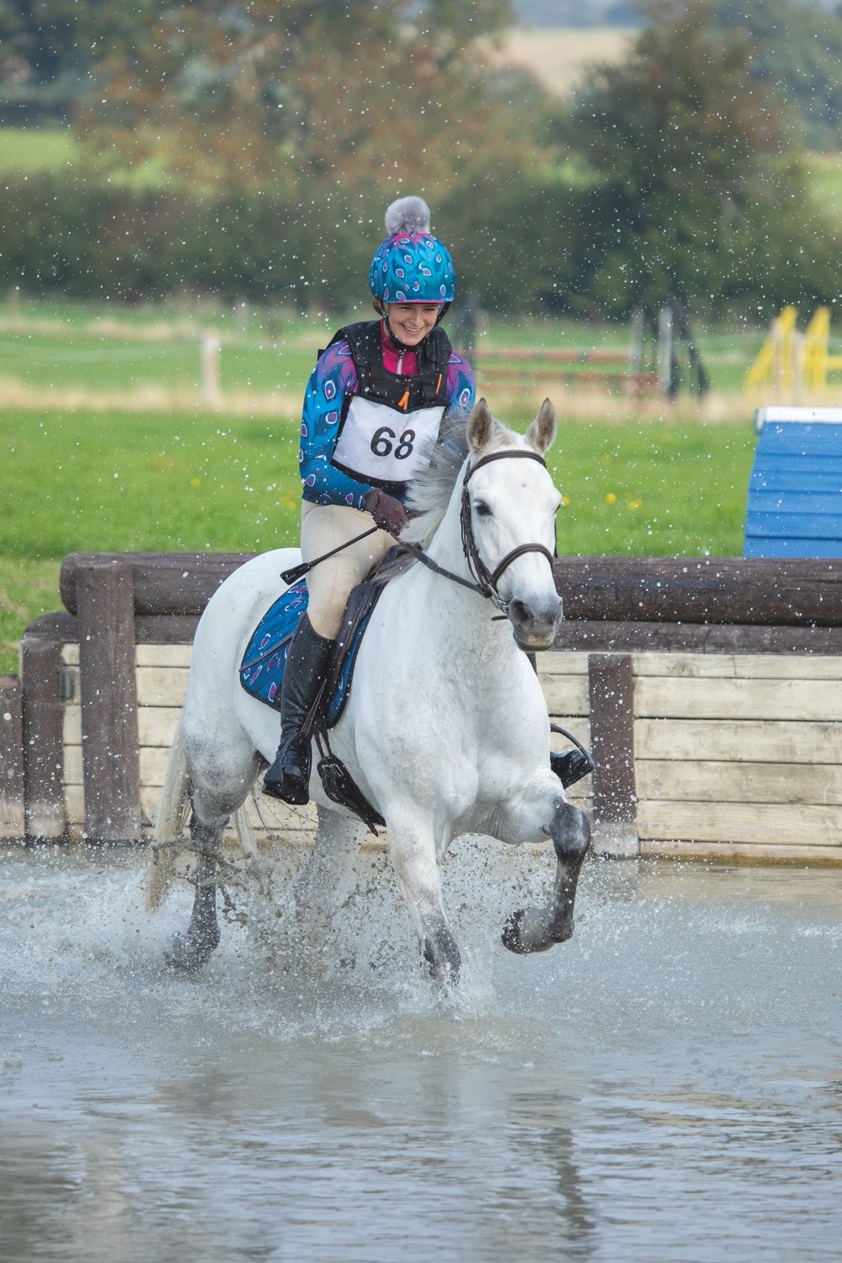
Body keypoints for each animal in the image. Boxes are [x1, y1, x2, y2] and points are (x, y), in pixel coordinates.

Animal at [148, 399, 590, 980]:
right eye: (482, 506)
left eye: (555, 505)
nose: (538, 615)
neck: (468, 675)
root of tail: (240, 577)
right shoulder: (412, 827)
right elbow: (444, 955)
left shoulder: (516, 802)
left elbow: (573, 832)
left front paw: (525, 929)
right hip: (222, 763)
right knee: (206, 833)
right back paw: (196, 945)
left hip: (339, 811)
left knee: (311, 892)